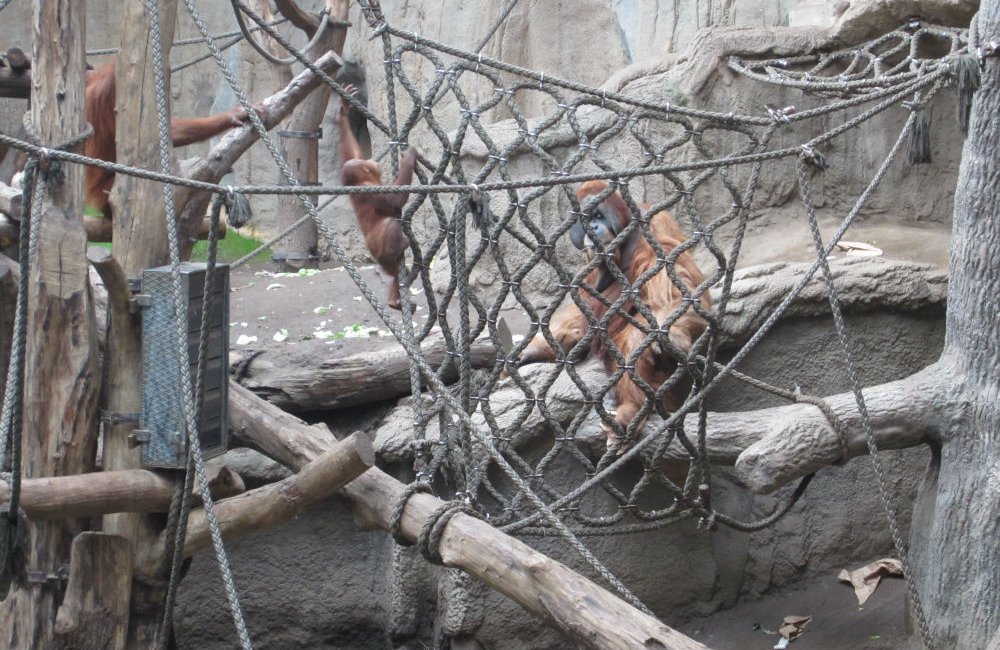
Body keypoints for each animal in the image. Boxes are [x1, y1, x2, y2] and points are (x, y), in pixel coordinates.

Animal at [337, 83, 417, 311]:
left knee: (394, 272)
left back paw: (394, 300)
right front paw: (409, 157)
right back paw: (398, 247)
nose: (373, 162)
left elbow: (352, 154)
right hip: (377, 247)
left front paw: (344, 110)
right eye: (368, 165)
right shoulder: (371, 189)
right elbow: (393, 202)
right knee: (391, 224)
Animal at [518, 180, 711, 447]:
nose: (593, 228)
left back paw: (631, 410)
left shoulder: (653, 226)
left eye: (599, 216)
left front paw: (671, 334)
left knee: (636, 337)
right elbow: (584, 299)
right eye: (586, 219)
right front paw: (541, 347)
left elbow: (674, 283)